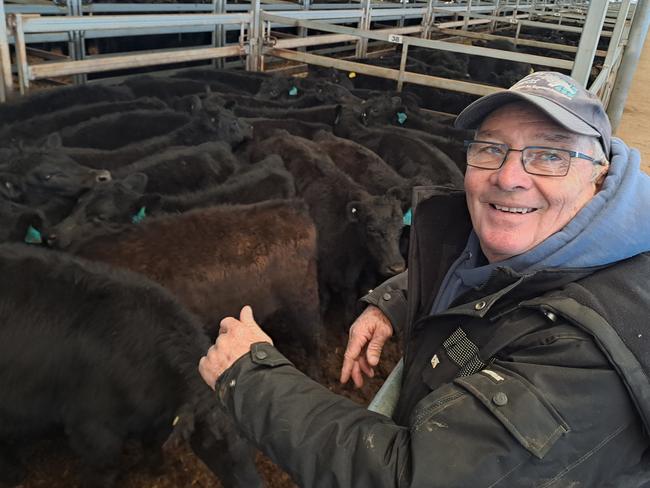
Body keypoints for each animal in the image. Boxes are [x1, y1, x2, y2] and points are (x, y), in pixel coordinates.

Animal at [0, 244, 260, 488]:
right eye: (211, 441)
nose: (253, 483)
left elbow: (152, 447)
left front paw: (157, 469)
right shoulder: (91, 428)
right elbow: (105, 470)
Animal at [249, 132, 404, 318]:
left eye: (401, 226)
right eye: (371, 229)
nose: (397, 267)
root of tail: (279, 134)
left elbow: (350, 299)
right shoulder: (320, 267)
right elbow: (324, 294)